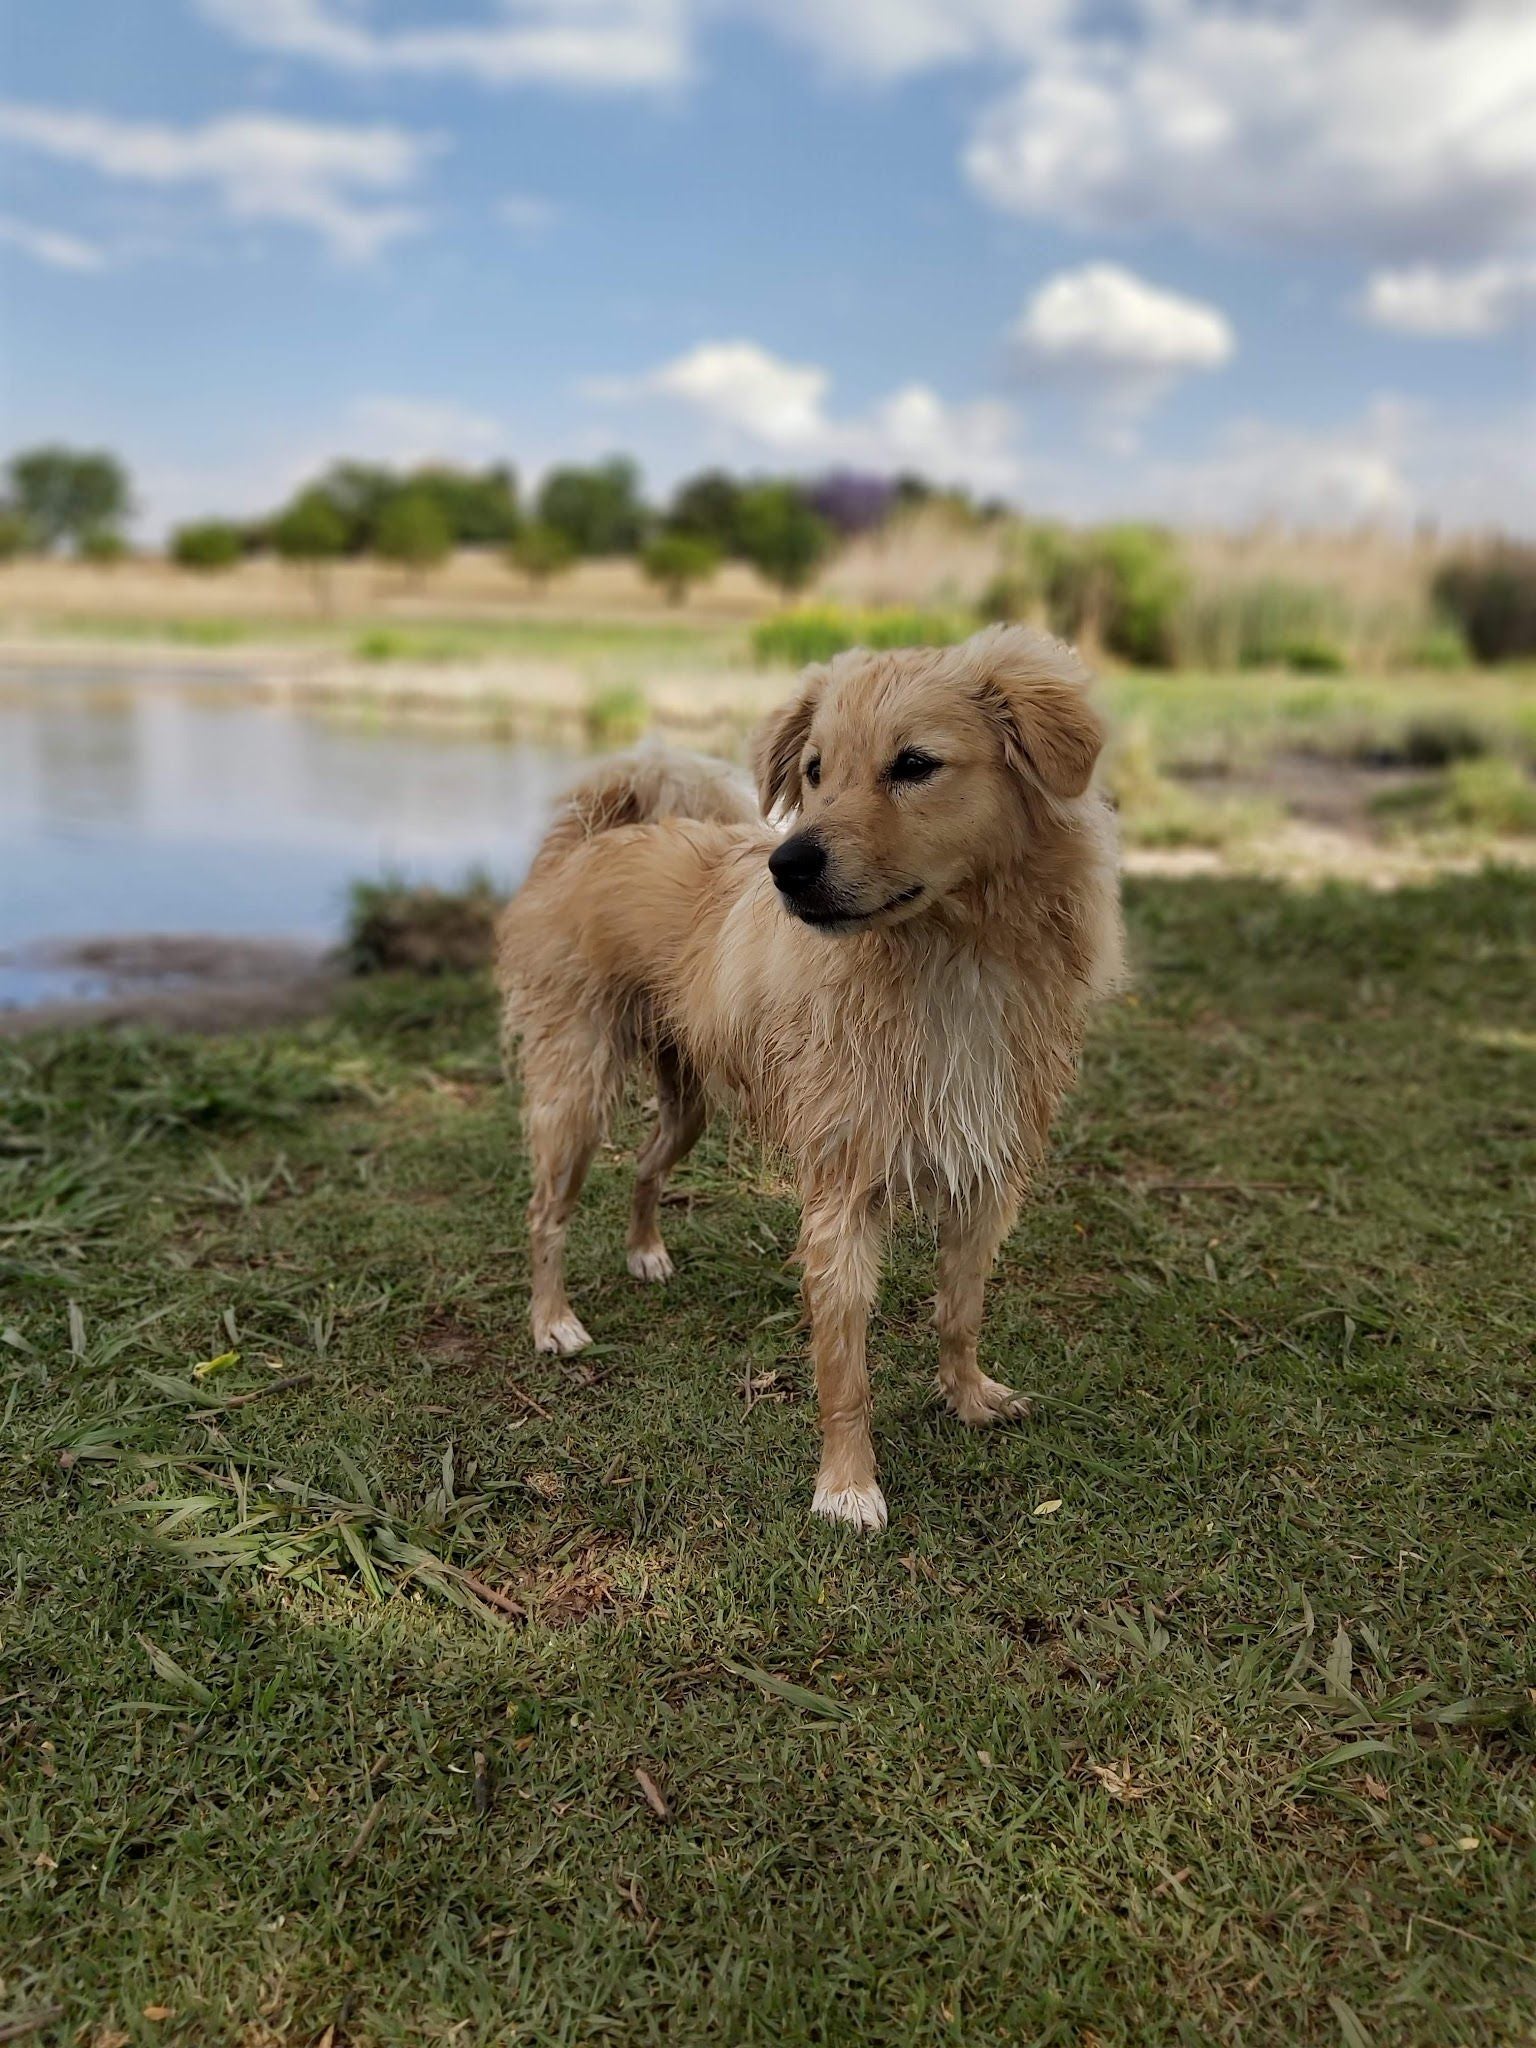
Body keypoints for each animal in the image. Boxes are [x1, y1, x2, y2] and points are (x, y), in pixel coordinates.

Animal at [499, 630, 1122, 1531]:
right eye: (816, 770)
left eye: (915, 764)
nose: (786, 865)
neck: (946, 957)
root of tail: (588, 841)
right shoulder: (843, 1192)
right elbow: (845, 1367)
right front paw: (847, 1485)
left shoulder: (986, 1173)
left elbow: (960, 1310)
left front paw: (967, 1397)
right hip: (574, 1093)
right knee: (546, 1212)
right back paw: (553, 1320)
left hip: (687, 1100)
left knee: (646, 1165)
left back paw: (646, 1252)